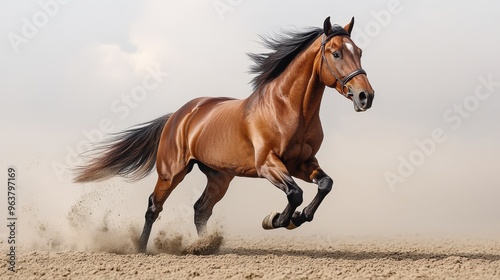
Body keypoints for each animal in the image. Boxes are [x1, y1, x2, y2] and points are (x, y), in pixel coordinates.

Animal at [74, 16, 376, 253]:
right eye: (336, 54)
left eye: (359, 51)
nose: (365, 96)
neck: (289, 108)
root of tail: (178, 115)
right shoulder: (268, 164)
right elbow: (295, 193)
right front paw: (276, 219)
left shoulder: (303, 163)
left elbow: (324, 185)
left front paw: (298, 218)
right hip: (172, 172)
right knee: (154, 207)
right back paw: (140, 248)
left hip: (220, 177)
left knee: (201, 209)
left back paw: (204, 246)